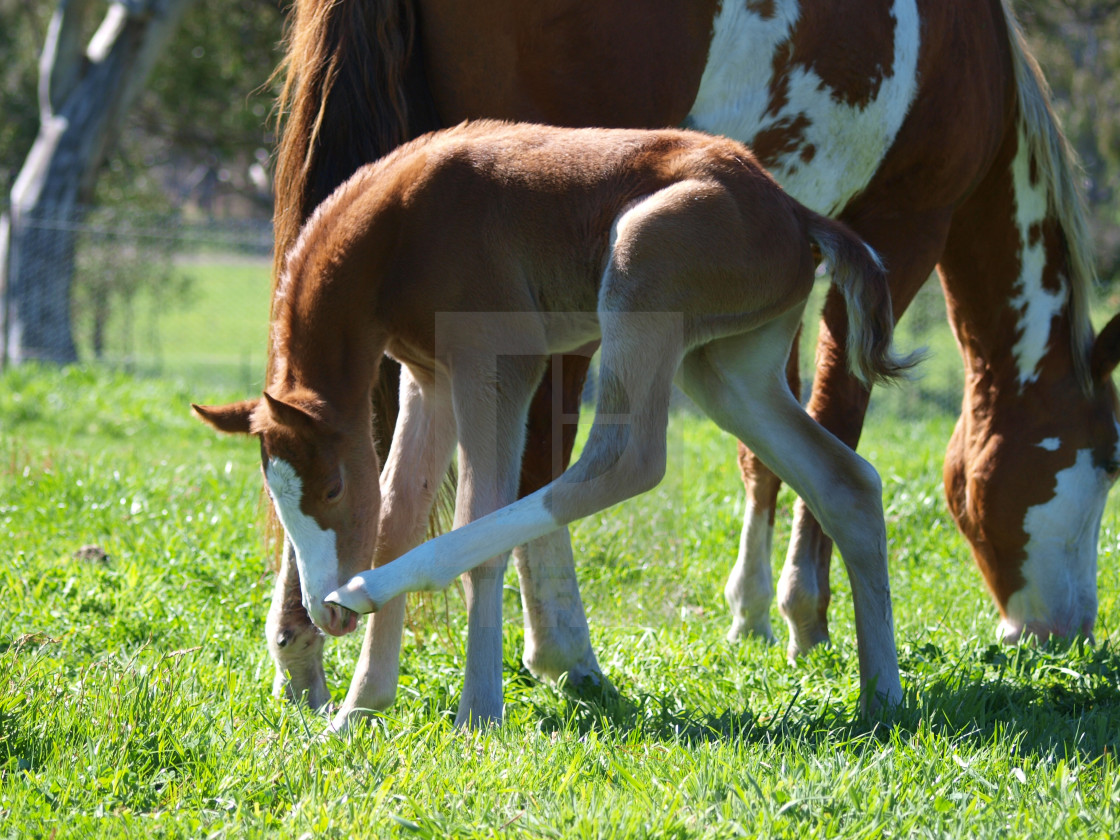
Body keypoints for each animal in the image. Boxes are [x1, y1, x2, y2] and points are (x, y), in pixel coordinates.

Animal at [197, 121, 913, 734]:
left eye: (332, 489)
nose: (326, 609)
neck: (399, 232)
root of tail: (793, 213)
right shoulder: (427, 378)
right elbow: (397, 517)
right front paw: (359, 708)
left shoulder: (497, 362)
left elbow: (474, 519)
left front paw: (478, 712)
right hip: (727, 367)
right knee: (846, 482)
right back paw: (882, 698)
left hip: (645, 270)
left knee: (626, 462)